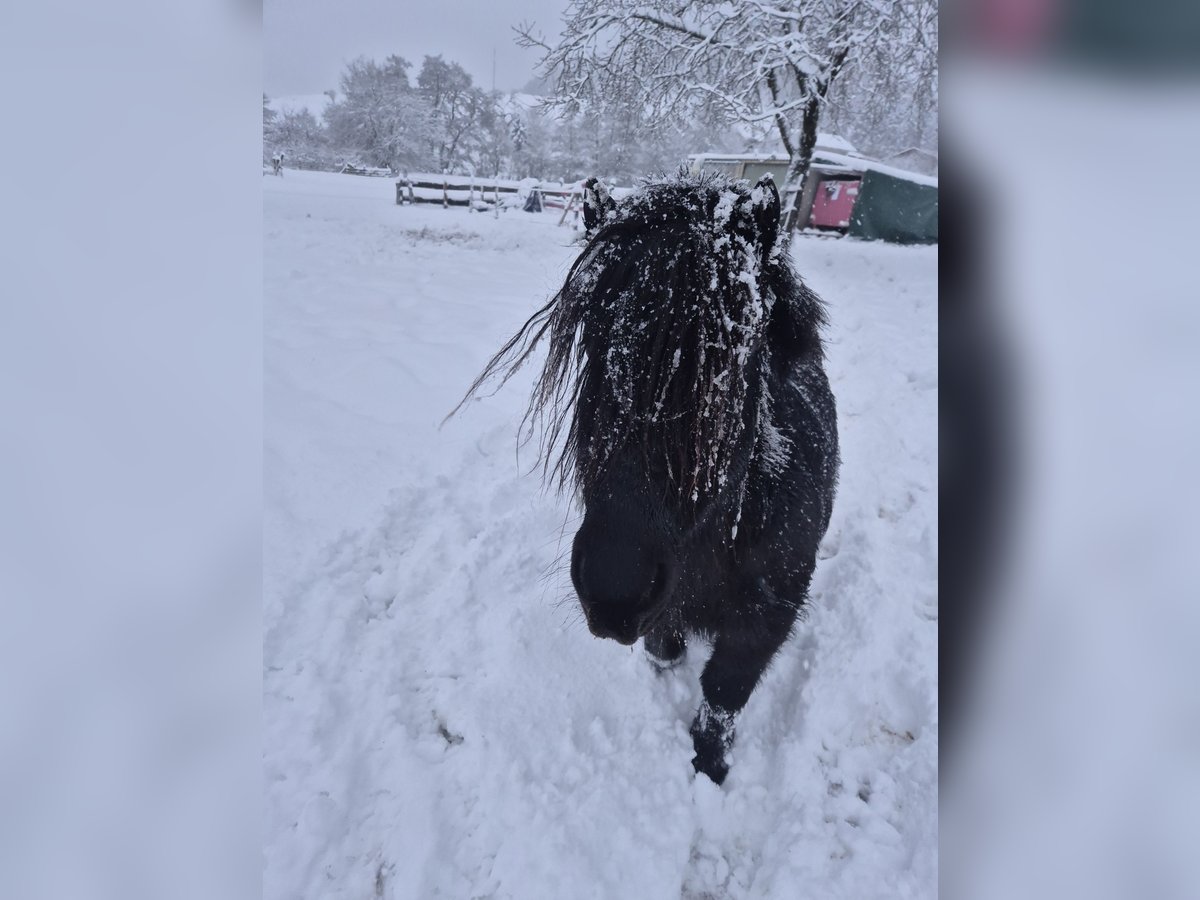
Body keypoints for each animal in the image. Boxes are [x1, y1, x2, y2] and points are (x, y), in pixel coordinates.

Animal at [453, 172, 840, 787]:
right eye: (592, 345)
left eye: (731, 361)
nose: (614, 592)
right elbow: (666, 642)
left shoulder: (767, 614)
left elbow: (723, 694)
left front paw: (709, 767)